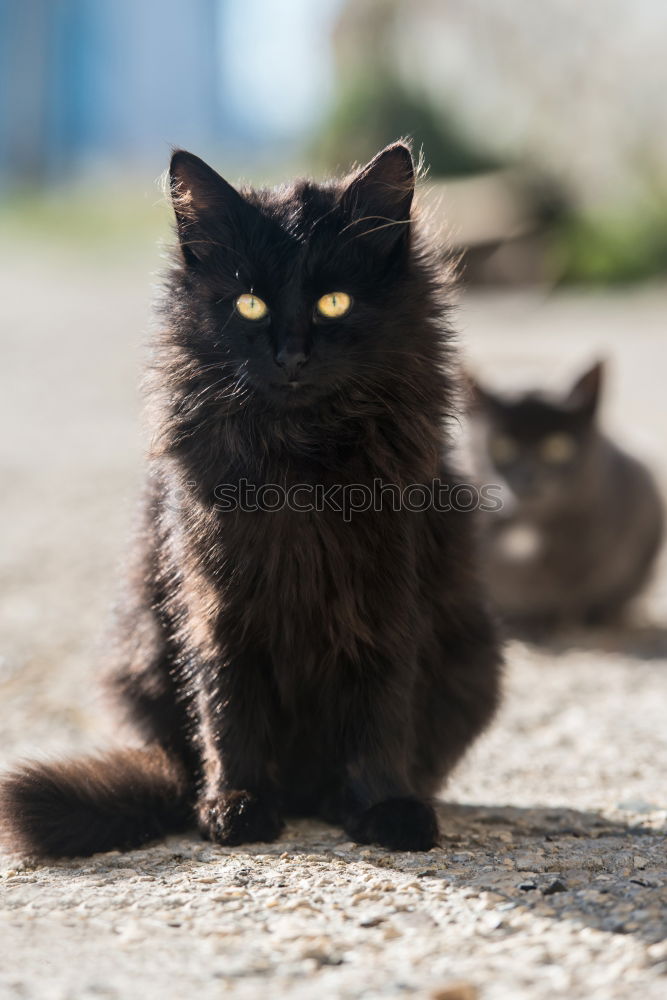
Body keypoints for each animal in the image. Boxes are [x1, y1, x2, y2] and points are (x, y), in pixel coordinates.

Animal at [0, 143, 500, 860]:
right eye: (251, 304)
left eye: (334, 302)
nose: (290, 354)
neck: (298, 459)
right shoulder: (216, 603)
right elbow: (227, 708)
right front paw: (235, 804)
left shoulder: (387, 598)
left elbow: (380, 711)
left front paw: (384, 808)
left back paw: (335, 802)